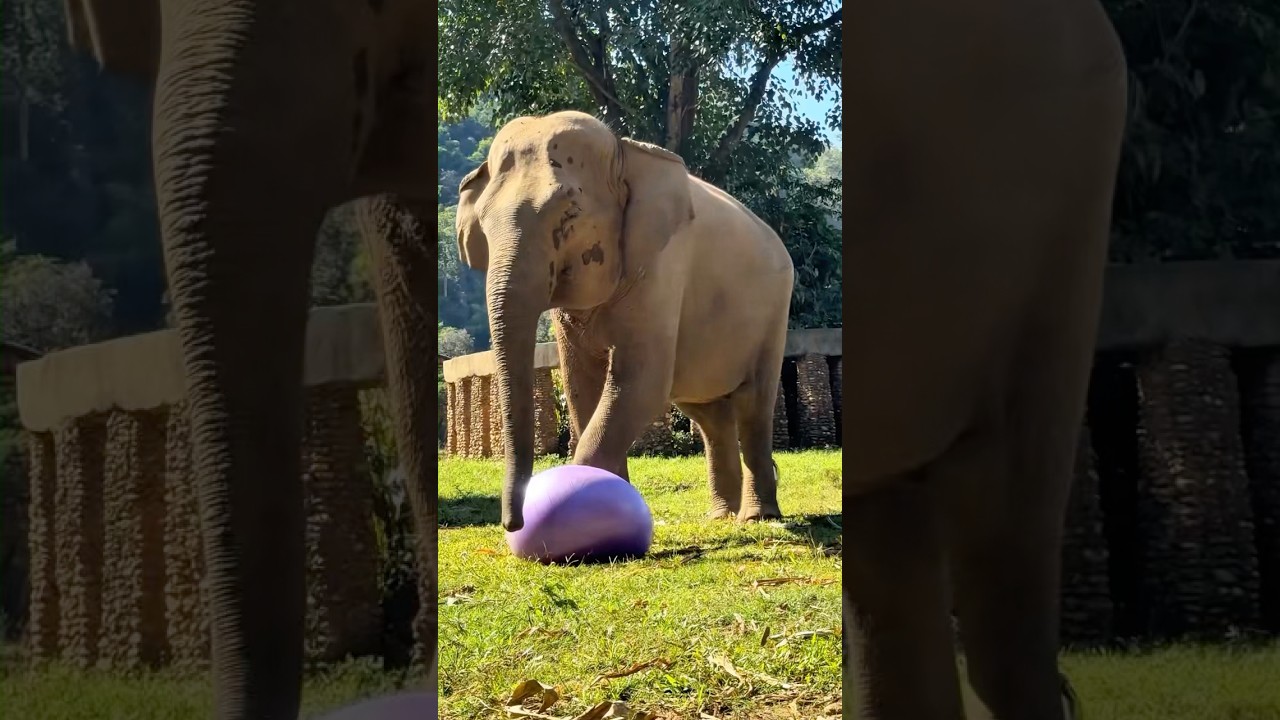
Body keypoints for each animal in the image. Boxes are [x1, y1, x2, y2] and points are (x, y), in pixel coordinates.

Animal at [455, 111, 795, 532]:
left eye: (569, 213)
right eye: (483, 226)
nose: (513, 525)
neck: (623, 153)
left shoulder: (663, 264)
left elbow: (639, 382)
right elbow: (581, 385)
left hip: (774, 311)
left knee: (753, 401)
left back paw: (757, 517)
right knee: (707, 412)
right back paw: (721, 515)